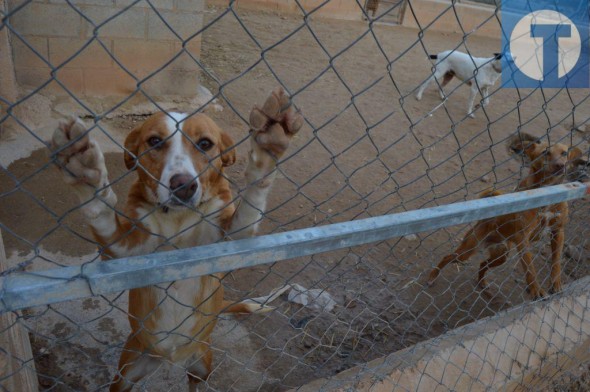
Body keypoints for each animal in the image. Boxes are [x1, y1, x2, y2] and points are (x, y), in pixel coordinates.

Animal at [49, 87, 306, 390]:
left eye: (205, 143)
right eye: (155, 141)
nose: (183, 186)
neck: (178, 218)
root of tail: (169, 358)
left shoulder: (229, 240)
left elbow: (252, 199)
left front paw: (269, 147)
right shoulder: (124, 251)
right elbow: (100, 213)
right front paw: (85, 173)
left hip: (202, 363)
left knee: (195, 381)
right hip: (127, 371)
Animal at [428, 133, 588, 298]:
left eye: (564, 153)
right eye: (545, 152)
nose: (560, 165)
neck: (547, 192)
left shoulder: (558, 231)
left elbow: (556, 261)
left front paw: (556, 283)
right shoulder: (523, 238)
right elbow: (530, 268)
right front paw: (535, 289)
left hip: (501, 256)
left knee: (482, 263)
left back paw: (482, 283)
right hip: (469, 249)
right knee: (448, 257)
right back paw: (432, 277)